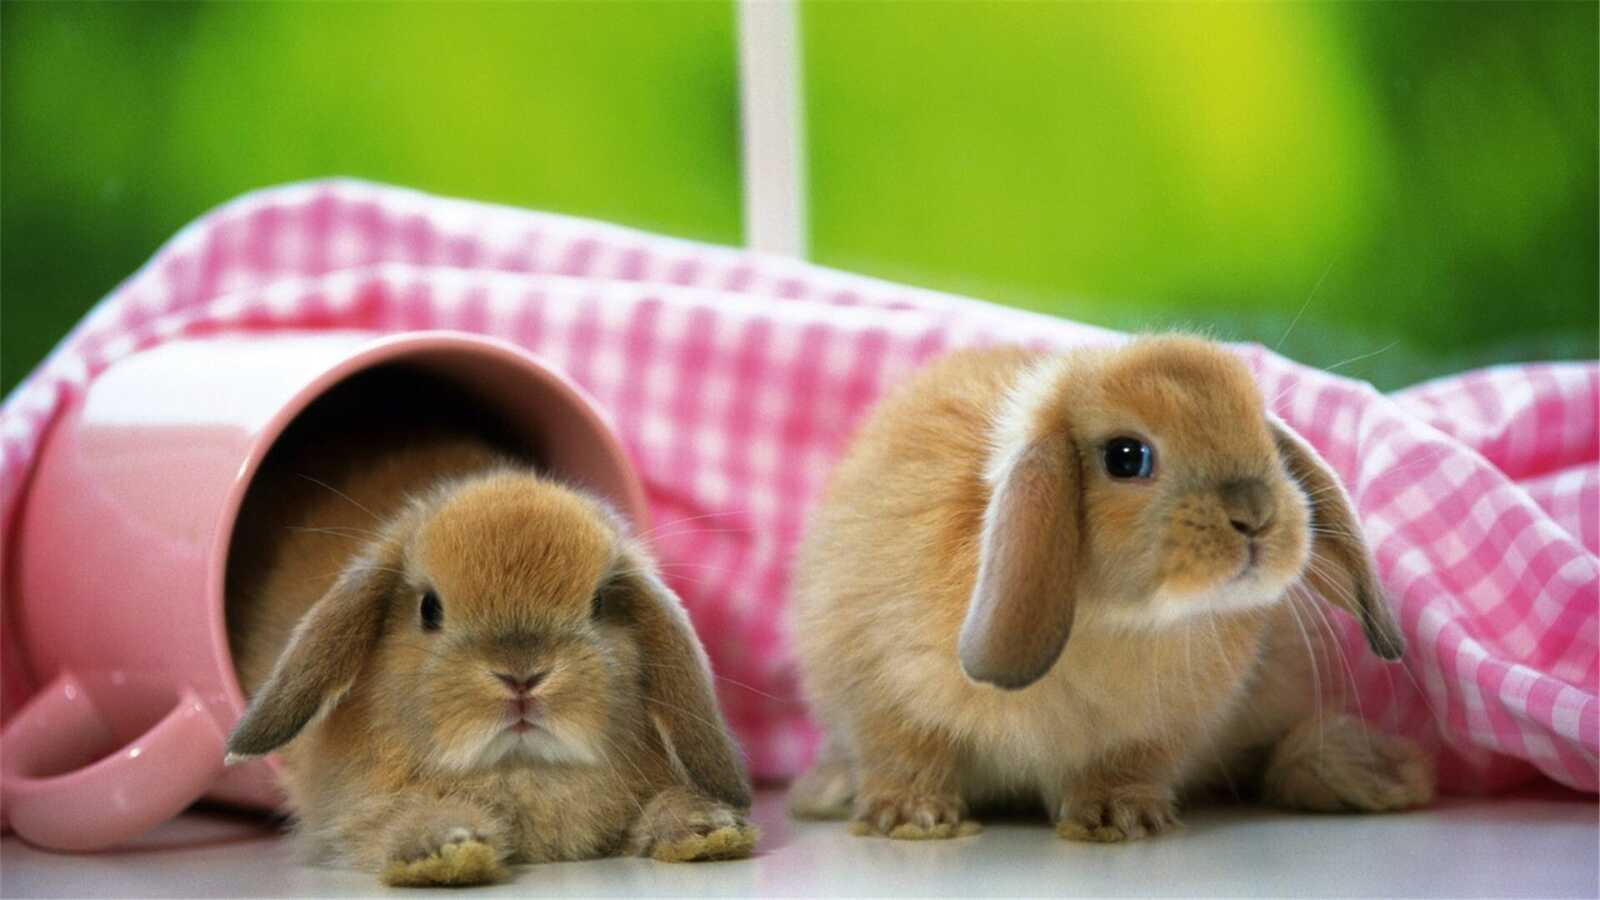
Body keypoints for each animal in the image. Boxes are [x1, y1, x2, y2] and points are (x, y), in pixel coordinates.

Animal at [224, 417, 757, 886]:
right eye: (429, 609)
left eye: (599, 603)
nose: (521, 676)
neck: (520, 768)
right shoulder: (358, 813)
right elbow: (399, 820)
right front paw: (445, 850)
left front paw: (706, 830)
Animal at [786, 335, 1434, 843]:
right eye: (1126, 456)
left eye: (1264, 441)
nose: (1256, 514)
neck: (1114, 621)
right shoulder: (879, 690)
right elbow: (905, 752)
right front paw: (911, 817)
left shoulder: (1159, 731)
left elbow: (1128, 765)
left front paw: (1117, 818)